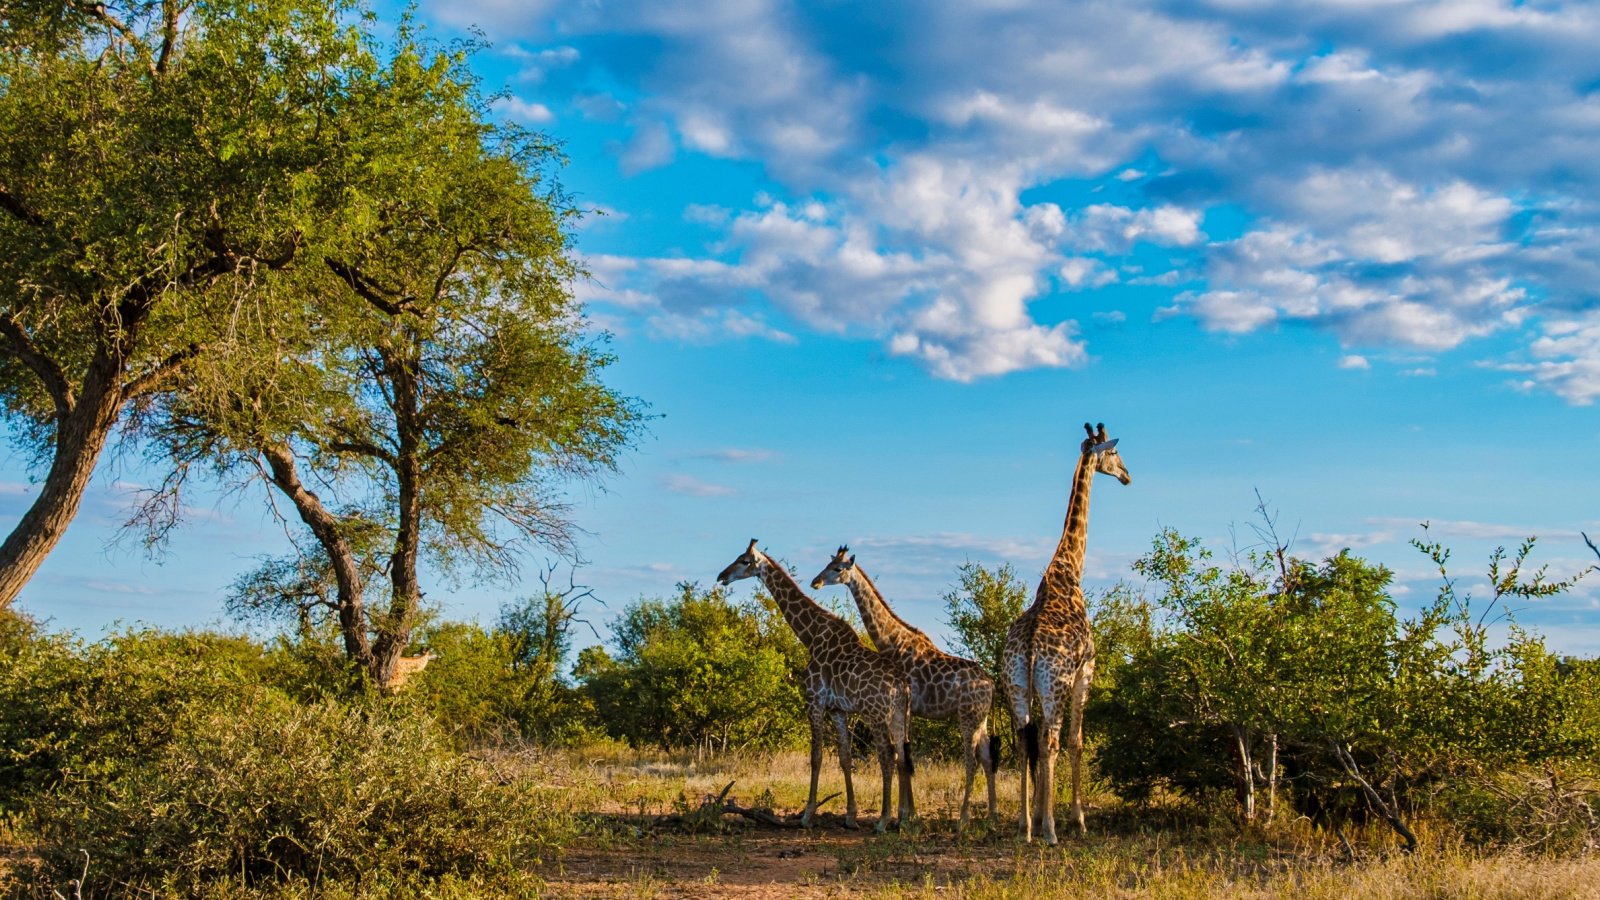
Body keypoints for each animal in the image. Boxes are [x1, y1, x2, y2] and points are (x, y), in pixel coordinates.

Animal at [713, 534, 915, 832]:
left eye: (745, 561)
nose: (721, 576)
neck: (811, 636)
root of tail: (902, 685)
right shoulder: (838, 709)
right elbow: (844, 757)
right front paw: (850, 817)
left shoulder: (814, 702)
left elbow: (816, 757)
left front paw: (807, 815)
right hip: (900, 715)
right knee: (902, 756)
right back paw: (903, 819)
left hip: (876, 714)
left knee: (887, 756)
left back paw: (883, 820)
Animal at [812, 544, 998, 826]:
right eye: (828, 563)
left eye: (838, 568)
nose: (816, 582)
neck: (892, 642)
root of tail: (991, 684)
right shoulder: (907, 710)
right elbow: (905, 757)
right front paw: (909, 814)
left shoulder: (905, 707)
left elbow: (902, 757)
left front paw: (904, 816)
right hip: (981, 718)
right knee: (987, 758)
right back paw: (990, 816)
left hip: (968, 717)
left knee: (971, 760)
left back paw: (964, 818)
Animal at [1004, 419, 1132, 839]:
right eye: (1114, 452)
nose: (1127, 476)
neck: (1067, 569)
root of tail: (1029, 648)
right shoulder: (1086, 670)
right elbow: (1077, 742)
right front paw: (1077, 818)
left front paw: (1038, 814)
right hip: (1055, 684)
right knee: (1052, 741)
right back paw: (1050, 829)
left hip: (1016, 686)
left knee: (1025, 740)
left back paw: (1026, 825)